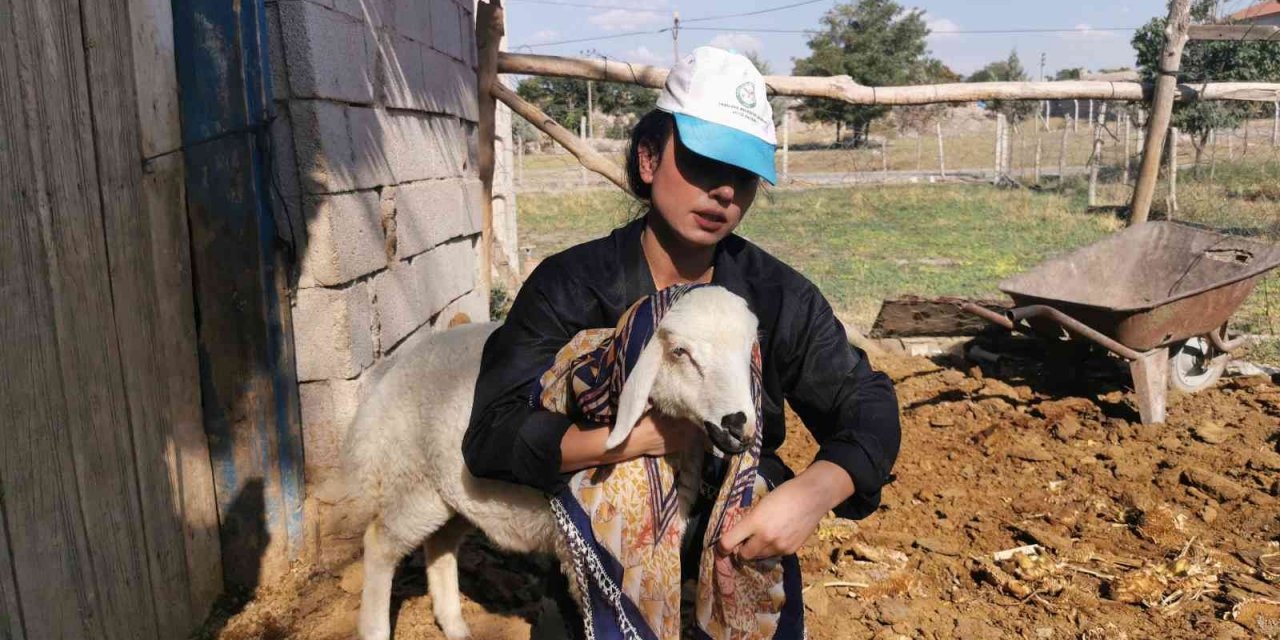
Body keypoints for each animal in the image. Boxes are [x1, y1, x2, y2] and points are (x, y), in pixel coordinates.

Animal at [340, 286, 757, 640]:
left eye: (749, 351)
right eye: (680, 352)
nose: (738, 424)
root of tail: (391, 368)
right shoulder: (582, 555)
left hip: (452, 492)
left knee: (439, 545)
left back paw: (455, 625)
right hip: (410, 478)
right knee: (379, 543)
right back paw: (376, 629)